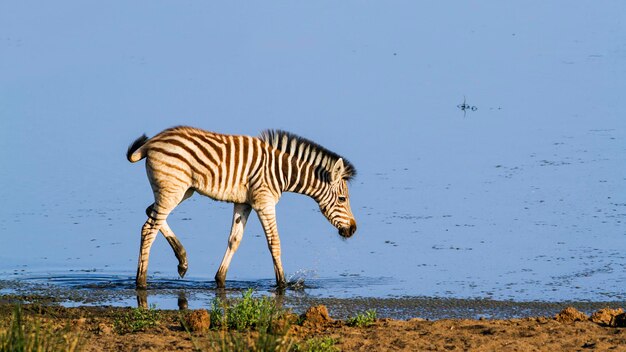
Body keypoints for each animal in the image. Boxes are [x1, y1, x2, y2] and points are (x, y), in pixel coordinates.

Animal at [127, 126, 356, 288]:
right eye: (342, 199)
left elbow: (234, 240)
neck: (281, 172)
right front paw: (283, 284)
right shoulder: (264, 202)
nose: (353, 229)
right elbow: (275, 243)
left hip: (183, 190)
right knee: (149, 228)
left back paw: (182, 260)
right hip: (172, 190)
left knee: (150, 213)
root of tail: (151, 142)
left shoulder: (244, 203)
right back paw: (141, 282)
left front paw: (220, 278)